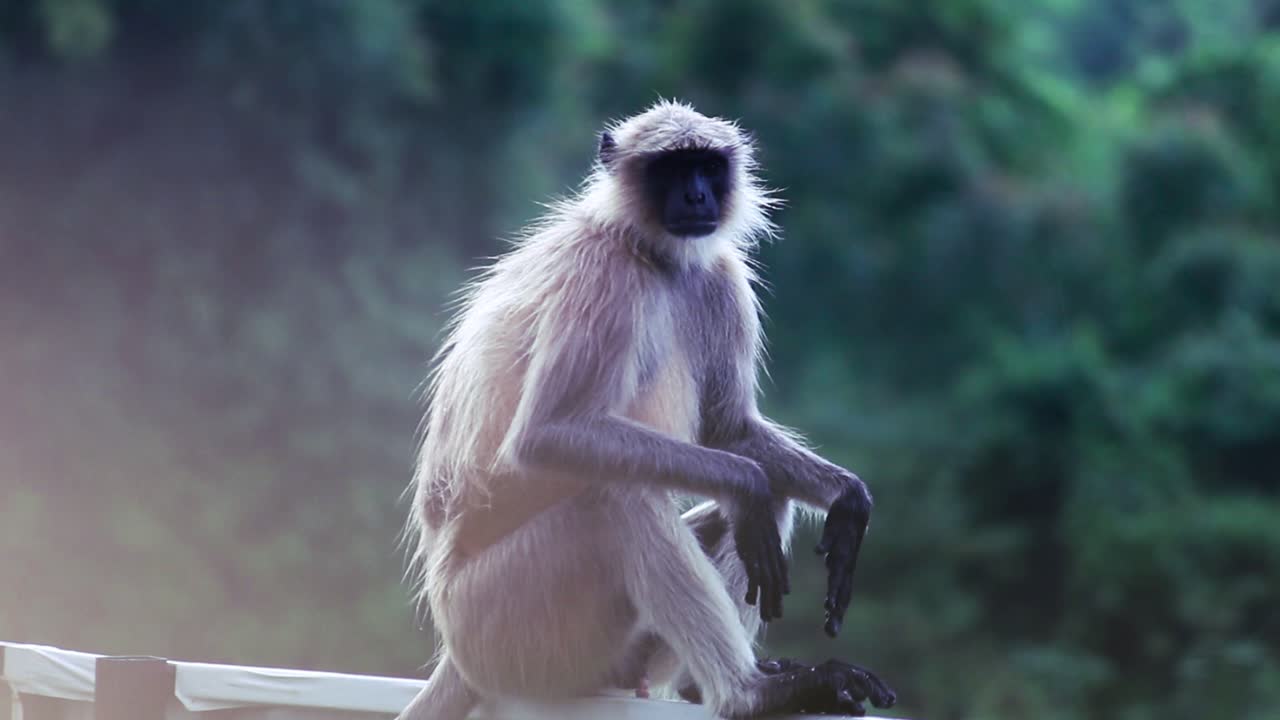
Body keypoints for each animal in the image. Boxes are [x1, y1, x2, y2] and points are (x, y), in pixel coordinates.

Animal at [399, 101, 896, 719]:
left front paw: (848, 499)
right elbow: (548, 435)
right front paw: (750, 486)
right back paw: (749, 694)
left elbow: (728, 430)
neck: (647, 251)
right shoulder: (603, 275)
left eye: (707, 167)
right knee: (618, 497)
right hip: (500, 624)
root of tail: (456, 654)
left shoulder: (719, 275)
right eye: (671, 169)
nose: (697, 196)